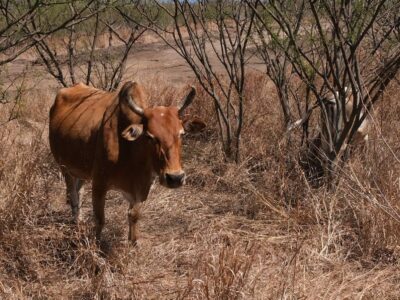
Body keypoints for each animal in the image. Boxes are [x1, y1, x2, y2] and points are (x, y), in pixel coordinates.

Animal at [49, 81, 196, 243]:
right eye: (150, 136)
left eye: (181, 133)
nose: (175, 178)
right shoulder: (99, 184)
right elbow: (100, 220)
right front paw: (96, 244)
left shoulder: (142, 187)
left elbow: (134, 215)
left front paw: (133, 242)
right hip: (64, 167)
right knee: (73, 194)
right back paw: (76, 221)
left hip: (82, 169)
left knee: (79, 190)